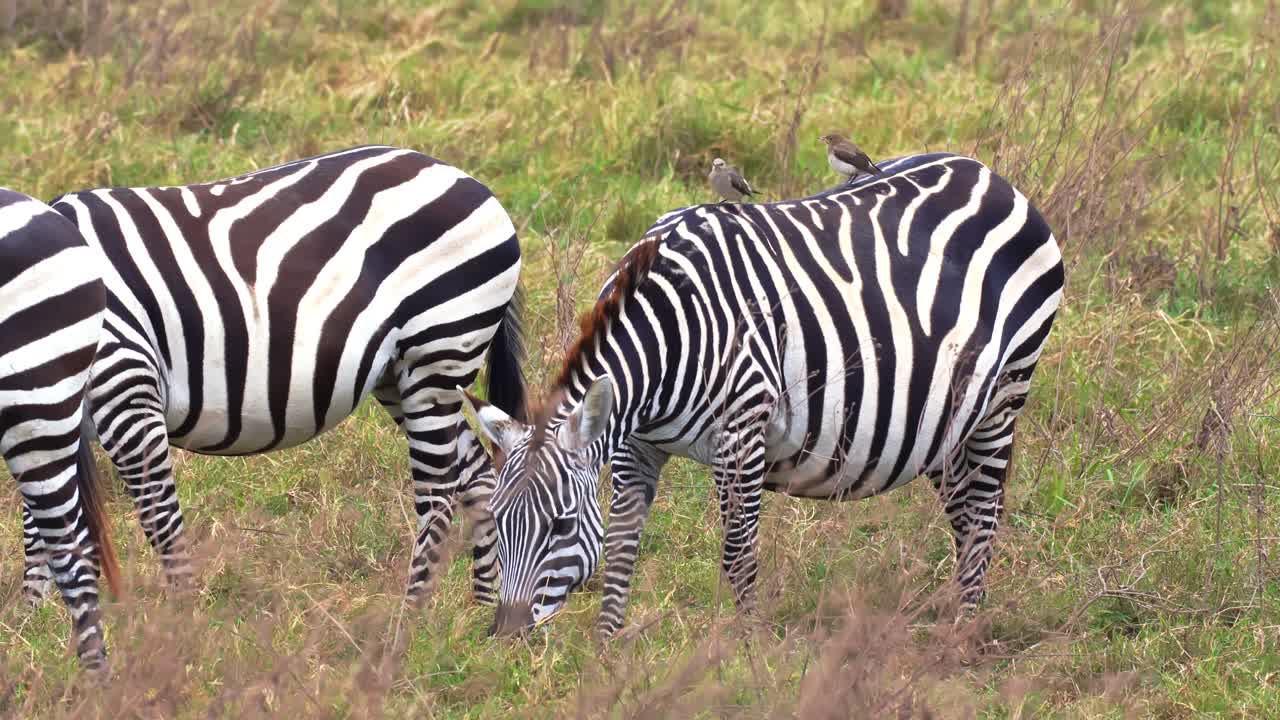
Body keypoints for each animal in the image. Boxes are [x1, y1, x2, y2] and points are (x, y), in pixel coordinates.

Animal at [21, 146, 526, 622]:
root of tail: (469, 181)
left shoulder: (126, 389)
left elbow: (159, 519)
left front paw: (182, 624)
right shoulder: (41, 418)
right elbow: (39, 524)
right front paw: (33, 624)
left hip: (437, 355)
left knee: (438, 488)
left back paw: (411, 616)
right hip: (404, 376)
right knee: (477, 473)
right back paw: (479, 609)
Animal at [463, 152, 1065, 636]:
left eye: (561, 525)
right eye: (493, 522)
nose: (506, 635)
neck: (668, 331)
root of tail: (989, 174)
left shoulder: (742, 433)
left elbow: (737, 555)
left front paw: (747, 651)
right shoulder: (636, 444)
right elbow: (621, 550)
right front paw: (607, 651)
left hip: (1004, 396)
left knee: (983, 515)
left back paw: (963, 633)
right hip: (947, 417)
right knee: (965, 513)